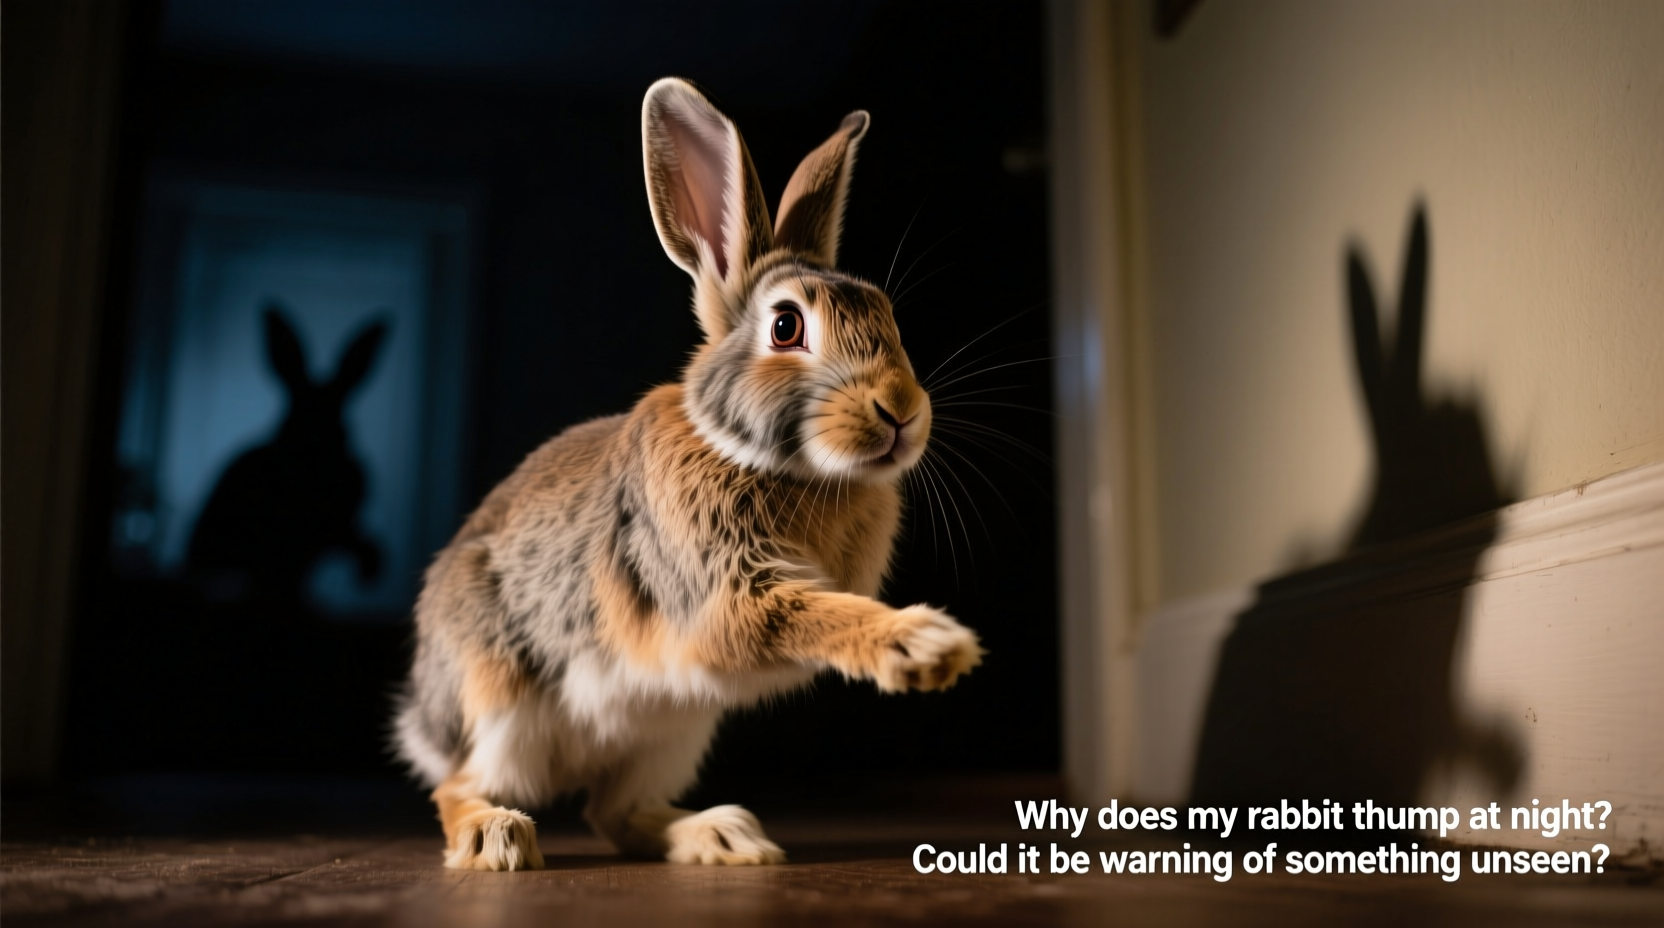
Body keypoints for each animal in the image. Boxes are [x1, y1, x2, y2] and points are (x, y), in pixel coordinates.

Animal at [393, 78, 983, 871]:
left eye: (886, 315)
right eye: (786, 327)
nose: (901, 412)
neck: (763, 457)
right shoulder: (723, 592)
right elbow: (817, 615)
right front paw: (927, 646)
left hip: (670, 733)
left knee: (616, 813)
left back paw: (725, 835)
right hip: (504, 707)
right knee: (456, 787)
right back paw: (498, 835)